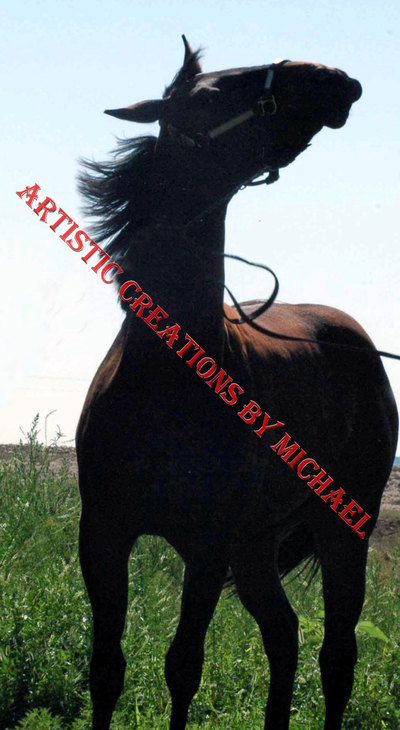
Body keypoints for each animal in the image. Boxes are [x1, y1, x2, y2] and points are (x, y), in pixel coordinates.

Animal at [76, 37, 398, 730]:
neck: (164, 380)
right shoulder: (104, 536)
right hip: (256, 551)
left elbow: (182, 668)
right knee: (284, 638)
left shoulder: (206, 548)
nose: (331, 77)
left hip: (344, 532)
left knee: (337, 655)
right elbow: (106, 669)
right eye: (212, 94)